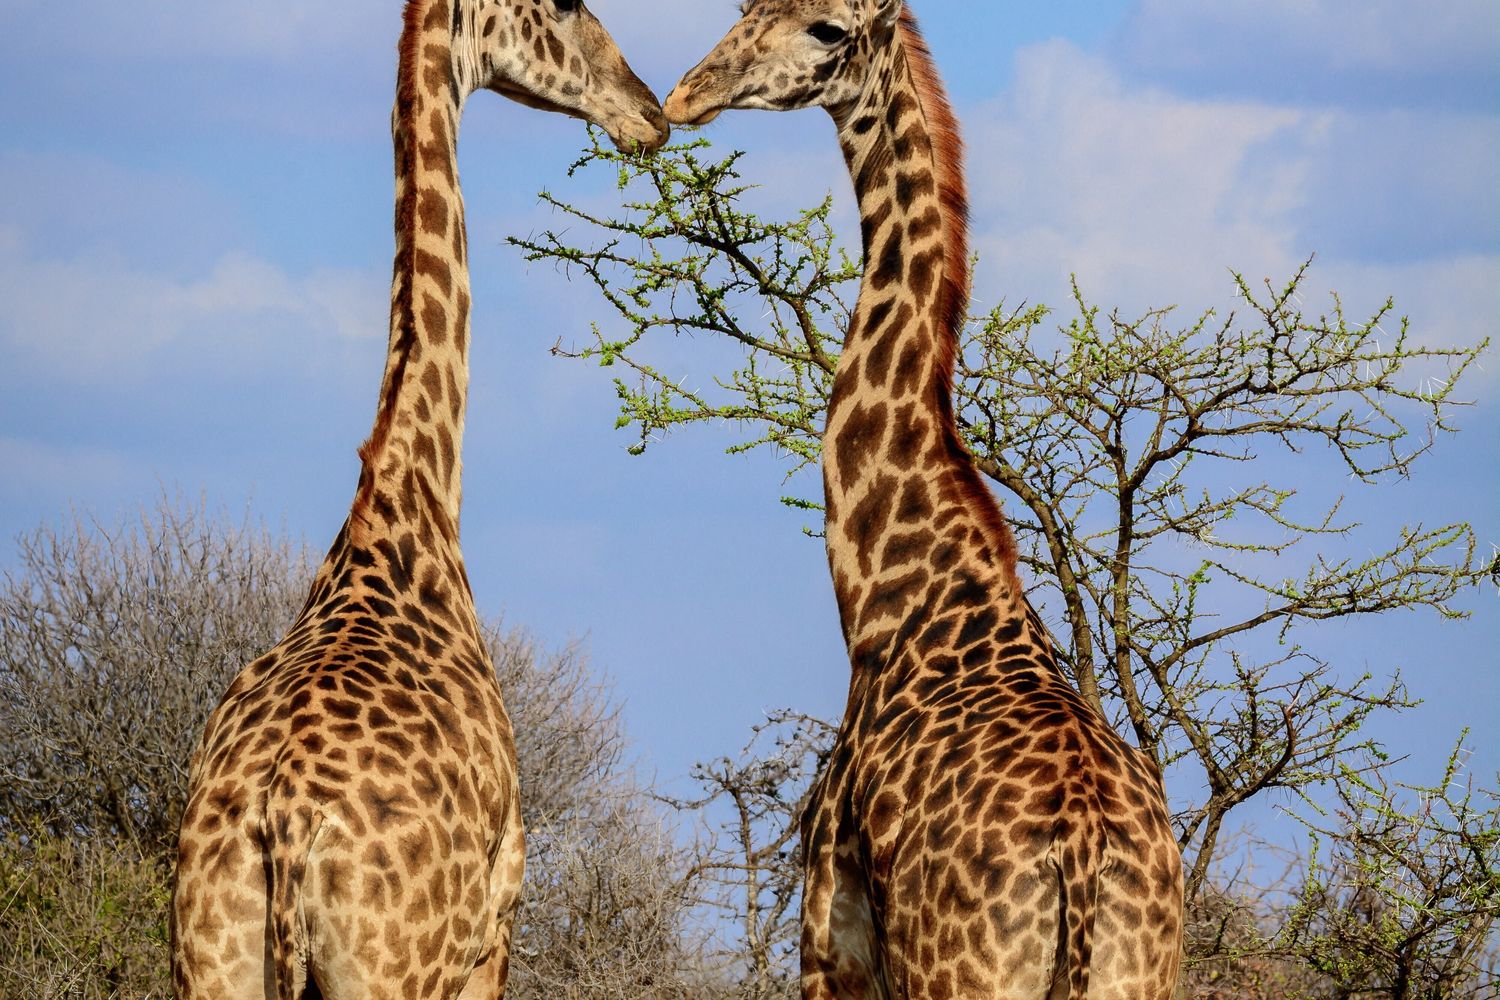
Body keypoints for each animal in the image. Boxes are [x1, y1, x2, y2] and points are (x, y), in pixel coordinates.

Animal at [171, 3, 667, 998]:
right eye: (566, 6)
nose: (651, 112)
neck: (412, 496)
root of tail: (286, 824)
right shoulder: (501, 910)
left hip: (205, 955)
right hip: (397, 967)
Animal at [664, 3, 1183, 998]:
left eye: (827, 30)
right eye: (743, 9)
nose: (683, 95)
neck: (890, 597)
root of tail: (1084, 850)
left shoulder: (828, 929)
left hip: (959, 972)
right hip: (1142, 970)